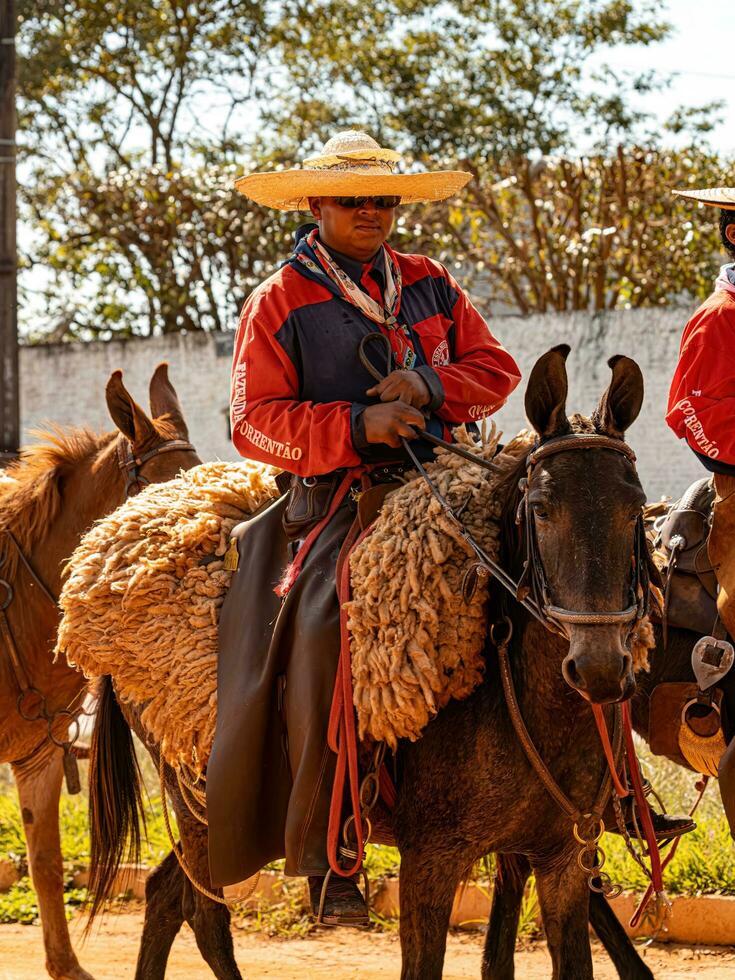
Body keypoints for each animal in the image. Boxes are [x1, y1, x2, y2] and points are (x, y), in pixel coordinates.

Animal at [83, 344, 652, 980]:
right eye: (543, 509)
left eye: (634, 508)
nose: (599, 668)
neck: (519, 704)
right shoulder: (430, 863)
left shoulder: (564, 860)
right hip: (200, 808)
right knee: (204, 915)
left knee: (164, 895)